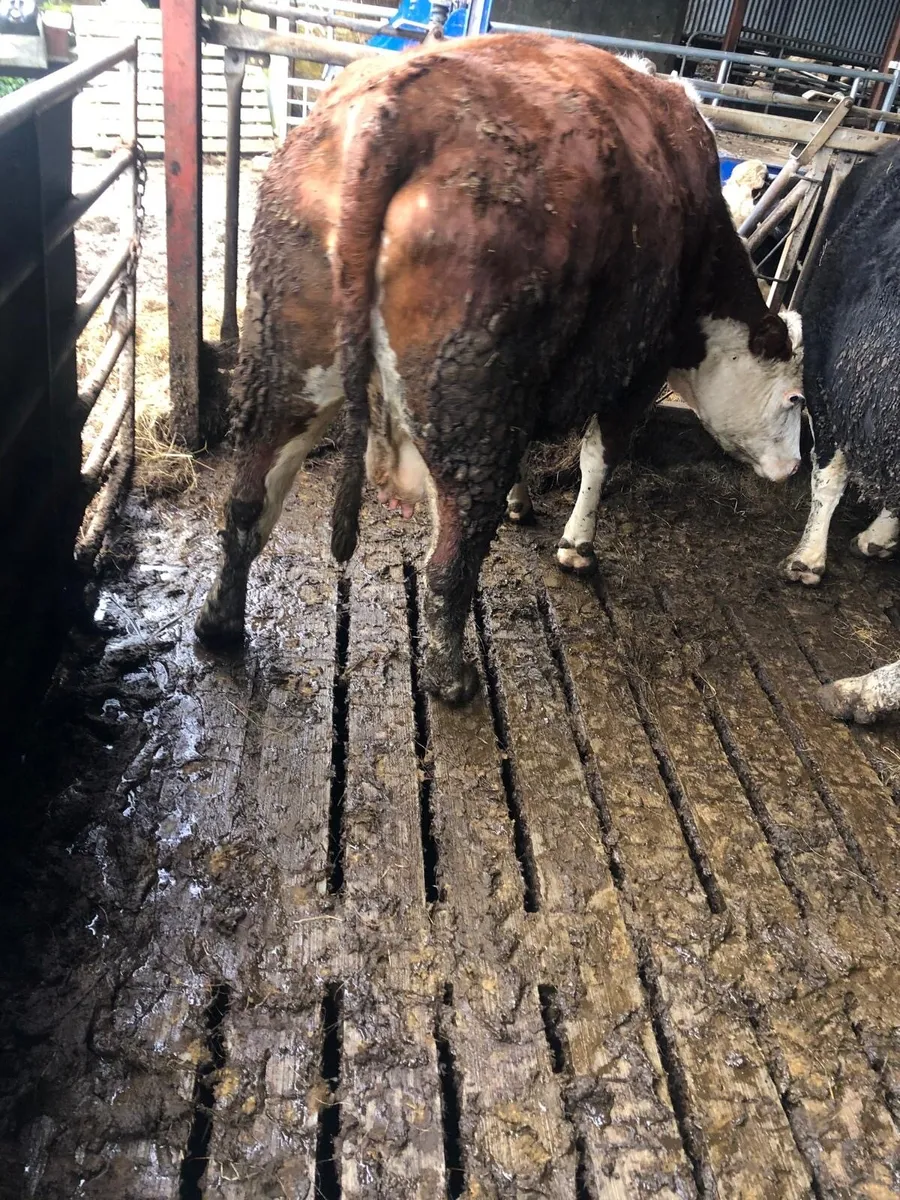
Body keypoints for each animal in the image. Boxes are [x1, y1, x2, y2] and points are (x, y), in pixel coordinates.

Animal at [195, 32, 804, 705]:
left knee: (247, 502)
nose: (792, 468)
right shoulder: (639, 368)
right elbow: (600, 458)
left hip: (286, 363)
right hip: (473, 400)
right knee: (448, 561)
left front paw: (522, 505)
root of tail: (400, 105)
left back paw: (219, 622)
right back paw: (451, 675)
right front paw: (576, 548)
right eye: (796, 400)